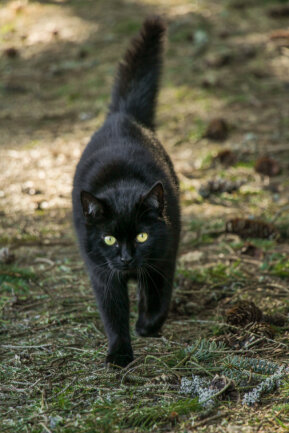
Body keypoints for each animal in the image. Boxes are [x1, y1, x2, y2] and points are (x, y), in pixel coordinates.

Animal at [72, 17, 180, 368]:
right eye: (109, 239)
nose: (126, 256)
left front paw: (147, 326)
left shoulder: (164, 254)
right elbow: (113, 313)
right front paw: (119, 353)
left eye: (142, 236)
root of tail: (122, 116)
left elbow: (158, 296)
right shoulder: (101, 272)